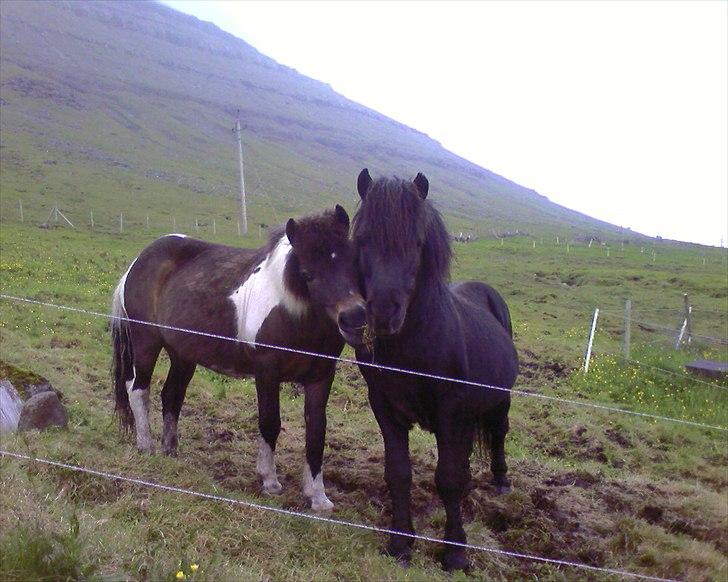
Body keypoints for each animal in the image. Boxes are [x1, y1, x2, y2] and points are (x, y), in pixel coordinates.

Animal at [112, 205, 360, 512]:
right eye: (307, 273)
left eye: (352, 263)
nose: (354, 317)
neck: (292, 313)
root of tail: (139, 260)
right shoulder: (267, 372)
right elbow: (270, 422)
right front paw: (270, 482)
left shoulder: (321, 377)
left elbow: (316, 435)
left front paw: (318, 497)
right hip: (146, 342)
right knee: (137, 389)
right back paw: (146, 446)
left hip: (182, 355)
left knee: (171, 396)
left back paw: (171, 450)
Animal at [338, 171, 520, 572]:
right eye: (362, 239)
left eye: (417, 242)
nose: (383, 313)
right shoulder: (385, 406)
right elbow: (399, 472)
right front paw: (401, 543)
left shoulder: (451, 411)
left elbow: (449, 478)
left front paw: (455, 552)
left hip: (499, 399)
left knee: (499, 432)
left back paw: (501, 480)